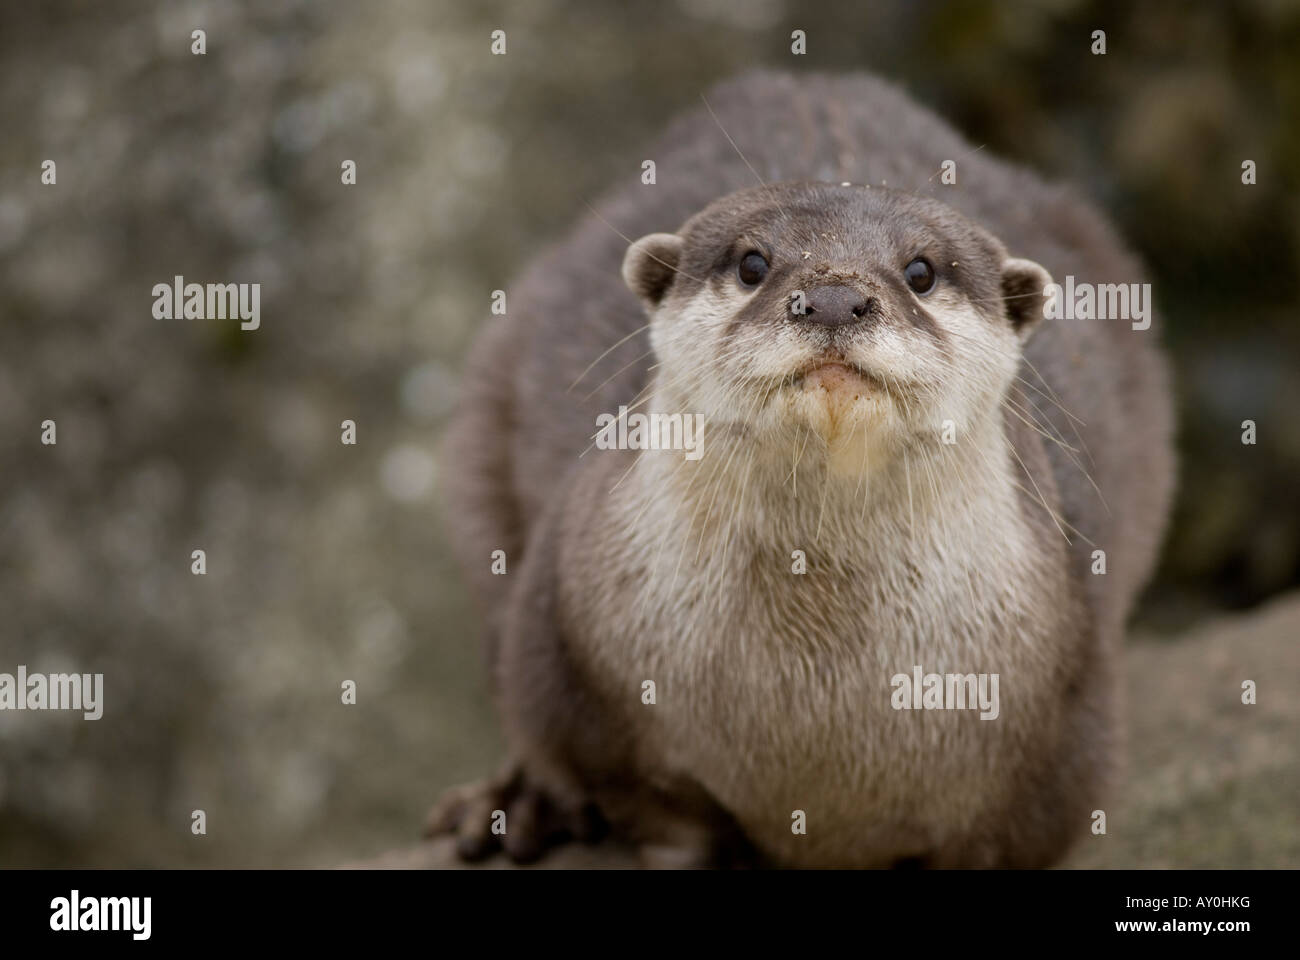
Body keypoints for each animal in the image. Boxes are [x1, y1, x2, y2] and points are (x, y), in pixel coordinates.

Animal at [429, 71, 1174, 868]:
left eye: (921, 270)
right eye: (753, 263)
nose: (834, 296)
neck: (814, 716)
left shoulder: (1051, 768)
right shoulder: (577, 679)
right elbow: (658, 817)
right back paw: (516, 805)